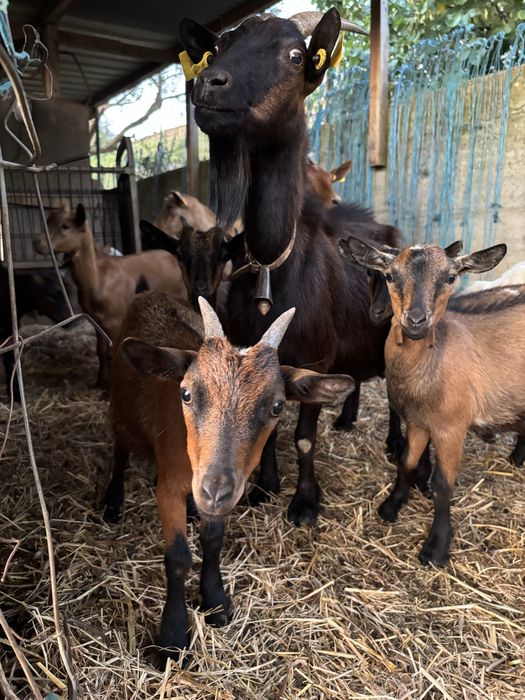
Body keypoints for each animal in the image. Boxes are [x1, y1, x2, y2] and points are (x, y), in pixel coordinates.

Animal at [0, 265, 70, 401]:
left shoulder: (10, 333)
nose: (71, 319)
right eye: (51, 295)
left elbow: (11, 362)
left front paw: (16, 395)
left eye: (68, 293)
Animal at [33, 203, 187, 391]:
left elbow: (112, 354)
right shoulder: (96, 321)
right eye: (48, 220)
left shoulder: (115, 322)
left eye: (65, 226)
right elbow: (100, 351)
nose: (37, 243)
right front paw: (100, 383)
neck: (99, 278)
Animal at [106, 291, 353, 656]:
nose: (214, 489)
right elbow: (178, 557)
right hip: (120, 412)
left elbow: (213, 540)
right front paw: (173, 637)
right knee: (120, 449)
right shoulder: (169, 488)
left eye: (277, 406)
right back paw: (111, 502)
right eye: (186, 393)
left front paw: (216, 600)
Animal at [180, 8, 402, 525]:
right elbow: (269, 429)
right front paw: (265, 487)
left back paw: (393, 441)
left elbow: (302, 437)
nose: (208, 85)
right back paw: (347, 417)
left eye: (296, 56)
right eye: (216, 50)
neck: (273, 265)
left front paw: (302, 503)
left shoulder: (315, 357)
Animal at [346, 236, 523, 566]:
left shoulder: (450, 428)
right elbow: (407, 462)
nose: (416, 320)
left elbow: (443, 485)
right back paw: (517, 459)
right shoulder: (417, 422)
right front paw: (390, 508)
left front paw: (436, 548)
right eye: (389, 275)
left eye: (451, 278)